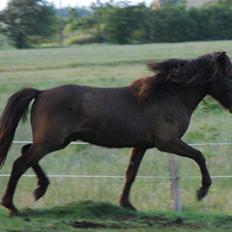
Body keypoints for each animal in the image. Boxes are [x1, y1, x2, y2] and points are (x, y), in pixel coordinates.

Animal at [0, 51, 232, 216]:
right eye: (229, 75)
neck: (168, 96)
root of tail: (40, 92)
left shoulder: (142, 145)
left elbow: (131, 173)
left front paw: (127, 204)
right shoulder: (167, 142)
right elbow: (199, 155)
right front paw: (202, 191)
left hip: (55, 141)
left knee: (25, 152)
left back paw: (40, 188)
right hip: (51, 142)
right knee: (20, 163)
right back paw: (12, 206)